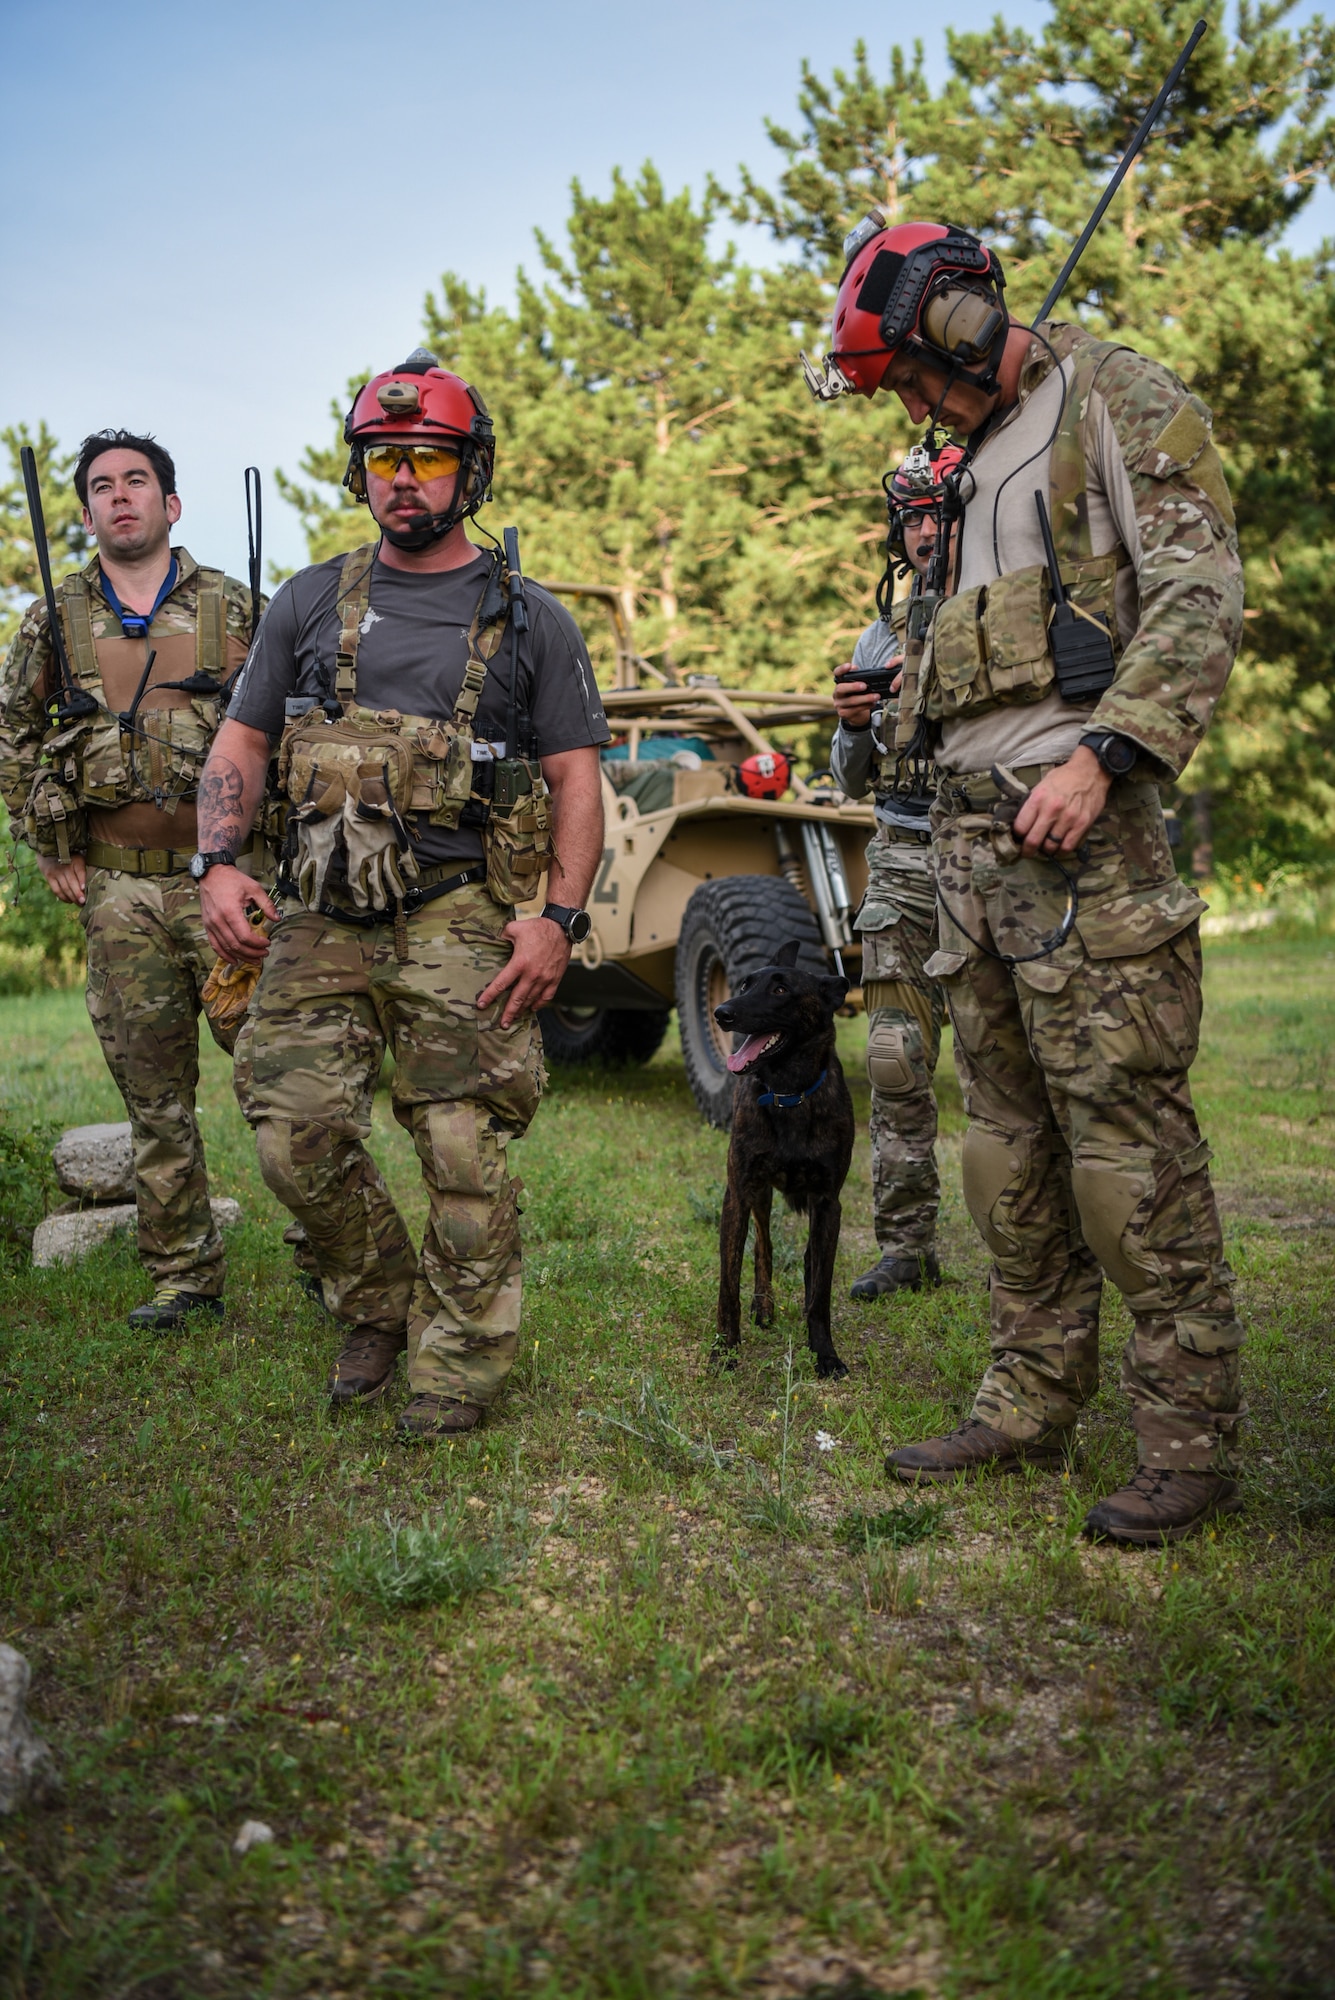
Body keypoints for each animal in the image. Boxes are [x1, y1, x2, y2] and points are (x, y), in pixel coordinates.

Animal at [719, 936, 855, 1376]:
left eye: (781, 990)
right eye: (745, 984)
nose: (722, 1012)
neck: (788, 1094)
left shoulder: (828, 1202)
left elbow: (821, 1291)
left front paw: (824, 1352)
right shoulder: (737, 1194)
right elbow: (728, 1285)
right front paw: (723, 1350)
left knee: (811, 1259)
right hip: (759, 1195)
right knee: (764, 1247)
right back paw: (763, 1305)